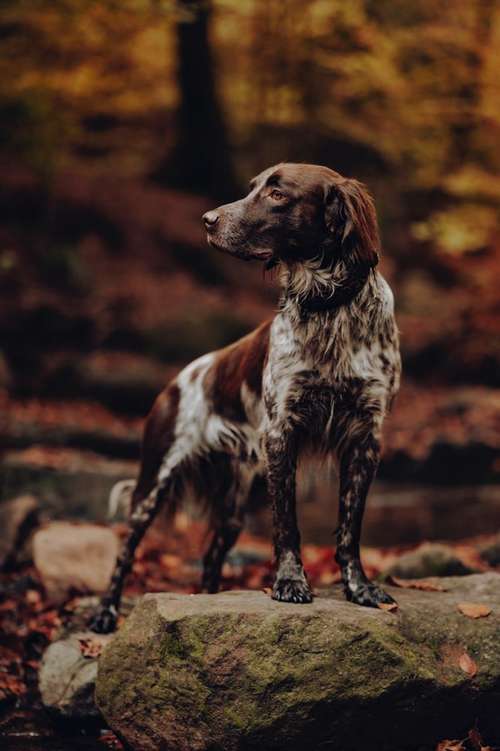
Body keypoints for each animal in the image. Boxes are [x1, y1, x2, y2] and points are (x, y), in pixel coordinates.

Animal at [90, 163, 402, 636]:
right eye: (253, 187)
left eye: (277, 193)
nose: (207, 219)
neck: (329, 307)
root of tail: (174, 382)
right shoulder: (282, 432)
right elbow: (287, 524)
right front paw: (290, 584)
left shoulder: (365, 437)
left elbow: (350, 528)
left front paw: (359, 588)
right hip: (154, 481)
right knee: (126, 551)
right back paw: (106, 612)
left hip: (236, 503)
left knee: (210, 558)